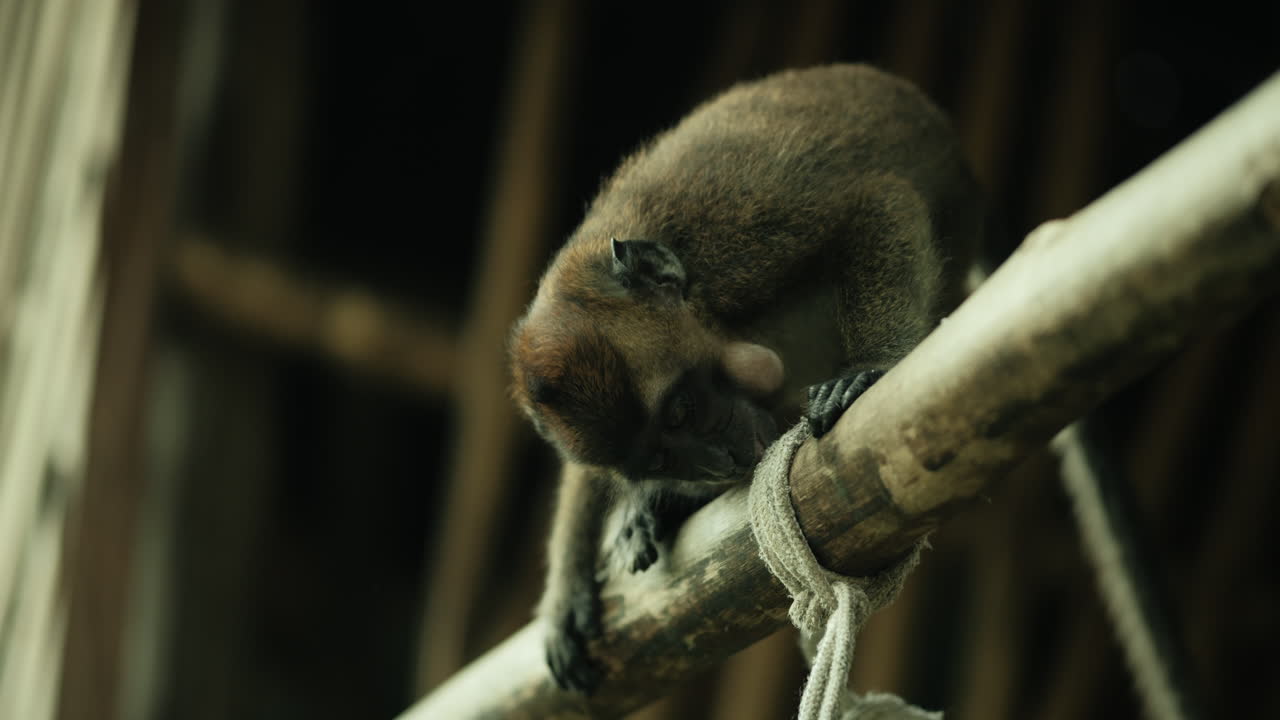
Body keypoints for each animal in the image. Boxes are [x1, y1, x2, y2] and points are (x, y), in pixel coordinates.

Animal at [508, 64, 983, 694]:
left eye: (680, 412)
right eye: (659, 457)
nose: (715, 462)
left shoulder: (740, 229)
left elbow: (876, 203)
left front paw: (870, 367)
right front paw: (567, 589)